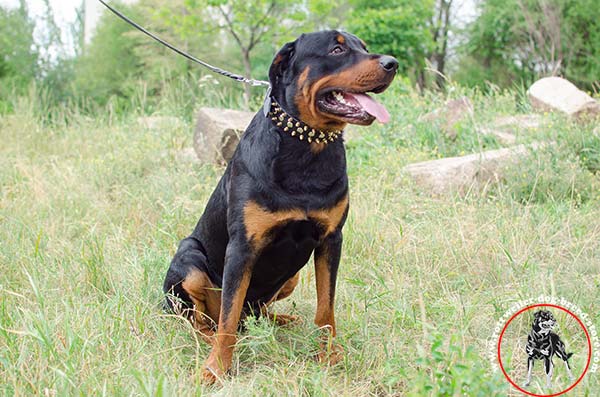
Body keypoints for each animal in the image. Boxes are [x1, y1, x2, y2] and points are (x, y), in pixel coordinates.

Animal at [163, 29, 398, 382]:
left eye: (364, 47)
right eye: (337, 49)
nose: (392, 63)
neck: (307, 146)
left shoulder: (331, 240)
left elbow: (326, 307)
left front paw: (330, 356)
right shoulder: (242, 247)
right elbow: (228, 317)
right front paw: (216, 368)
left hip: (291, 278)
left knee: (256, 312)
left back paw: (282, 321)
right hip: (188, 258)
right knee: (203, 318)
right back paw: (205, 335)